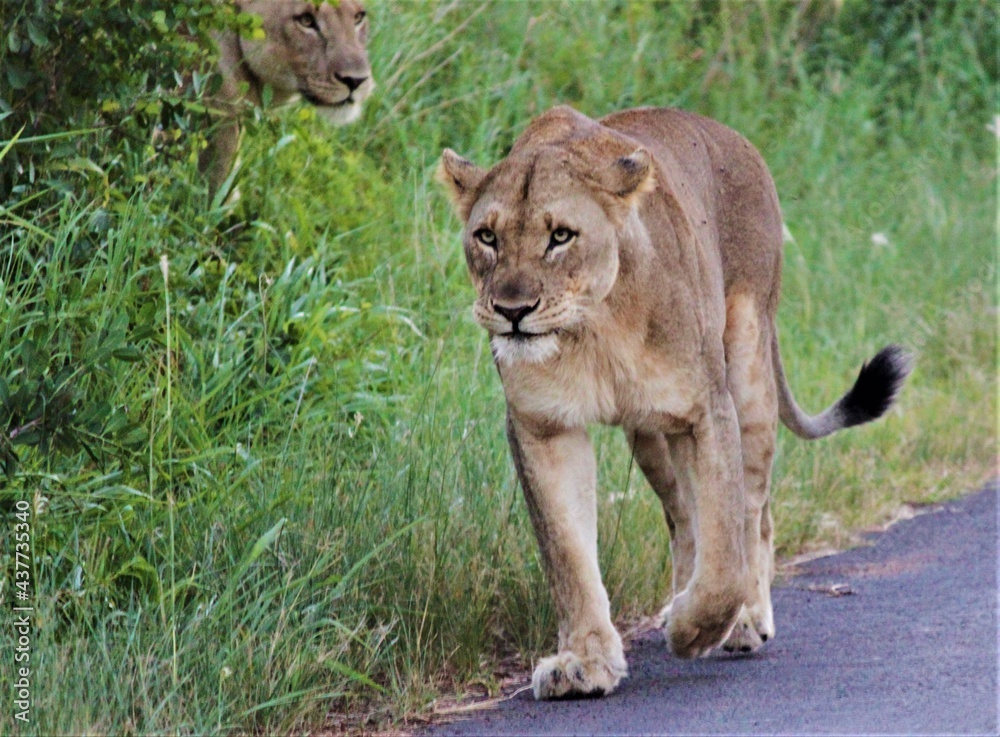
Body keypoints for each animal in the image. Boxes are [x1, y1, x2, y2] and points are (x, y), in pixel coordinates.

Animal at [437, 105, 910, 700]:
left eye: (561, 236)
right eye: (487, 237)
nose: (512, 310)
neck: (593, 330)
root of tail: (735, 137)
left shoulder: (705, 411)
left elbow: (725, 552)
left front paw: (698, 629)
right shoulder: (541, 425)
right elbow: (568, 552)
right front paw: (584, 662)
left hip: (749, 366)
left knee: (753, 512)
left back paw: (746, 620)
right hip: (649, 436)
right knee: (683, 515)